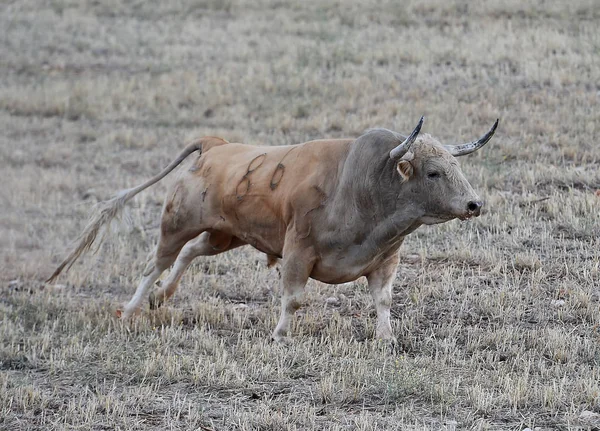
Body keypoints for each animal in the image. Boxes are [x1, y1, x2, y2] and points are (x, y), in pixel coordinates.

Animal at [47, 116, 496, 342]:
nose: (473, 205)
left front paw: (386, 339)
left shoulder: (385, 259)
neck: (360, 186)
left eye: (455, 167)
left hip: (225, 235)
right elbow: (293, 298)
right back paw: (133, 308)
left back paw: (163, 297)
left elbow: (383, 300)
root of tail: (215, 146)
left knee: (191, 253)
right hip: (177, 223)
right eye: (433, 172)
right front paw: (281, 335)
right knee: (155, 263)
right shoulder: (298, 251)